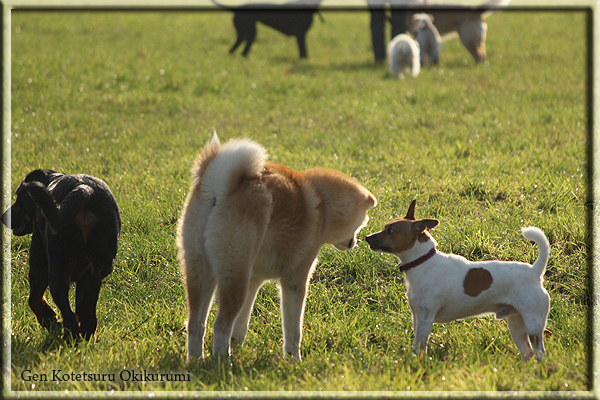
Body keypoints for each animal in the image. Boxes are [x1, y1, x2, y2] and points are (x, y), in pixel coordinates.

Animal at [2, 169, 120, 340]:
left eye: (19, 197)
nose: (3, 217)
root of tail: (86, 190)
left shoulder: (38, 261)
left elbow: (34, 299)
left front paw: (49, 319)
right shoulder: (85, 278)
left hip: (57, 270)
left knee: (68, 314)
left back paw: (70, 338)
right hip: (97, 270)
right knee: (87, 311)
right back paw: (84, 335)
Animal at [176, 134, 378, 362]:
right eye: (363, 221)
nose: (356, 242)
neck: (322, 204)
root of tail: (218, 187)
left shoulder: (253, 280)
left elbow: (242, 324)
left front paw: (237, 345)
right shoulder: (294, 280)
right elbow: (293, 330)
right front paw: (295, 360)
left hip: (201, 272)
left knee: (195, 324)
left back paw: (196, 361)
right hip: (233, 276)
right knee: (220, 325)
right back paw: (223, 361)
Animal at [364, 202, 552, 360]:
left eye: (391, 231)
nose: (367, 237)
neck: (423, 262)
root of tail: (534, 272)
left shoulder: (425, 318)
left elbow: (420, 344)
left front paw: (416, 360)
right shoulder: (416, 316)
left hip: (533, 322)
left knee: (540, 352)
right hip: (516, 323)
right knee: (527, 352)